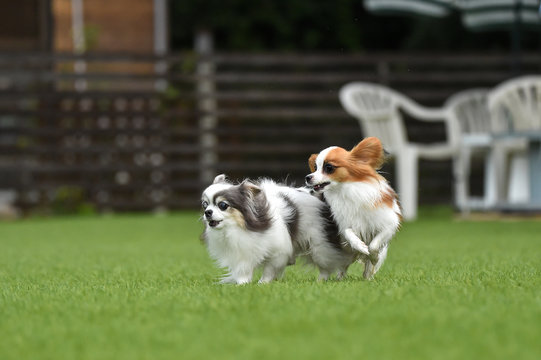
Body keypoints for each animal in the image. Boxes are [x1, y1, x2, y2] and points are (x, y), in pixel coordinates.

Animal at [199, 174, 354, 284]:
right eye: (205, 205)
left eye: (223, 205)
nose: (207, 212)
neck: (239, 228)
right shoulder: (243, 252)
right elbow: (244, 270)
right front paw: (242, 284)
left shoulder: (277, 252)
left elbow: (269, 269)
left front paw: (263, 283)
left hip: (319, 246)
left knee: (327, 265)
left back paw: (321, 281)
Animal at [306, 136, 398, 280]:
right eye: (315, 167)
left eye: (329, 167)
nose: (308, 177)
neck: (346, 189)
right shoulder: (345, 224)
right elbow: (349, 233)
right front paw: (361, 246)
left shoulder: (389, 224)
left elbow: (373, 246)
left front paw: (373, 256)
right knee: (343, 265)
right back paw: (340, 278)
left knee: (367, 267)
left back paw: (368, 278)